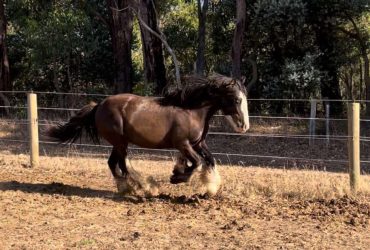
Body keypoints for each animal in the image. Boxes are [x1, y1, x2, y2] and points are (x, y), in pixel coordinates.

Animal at [46, 73, 249, 196]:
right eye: (236, 100)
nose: (244, 126)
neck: (192, 111)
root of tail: (99, 105)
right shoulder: (182, 144)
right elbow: (197, 162)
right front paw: (176, 177)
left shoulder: (198, 143)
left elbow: (210, 161)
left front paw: (210, 188)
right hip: (121, 143)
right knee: (122, 165)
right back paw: (144, 188)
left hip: (119, 143)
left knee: (113, 164)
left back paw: (127, 188)